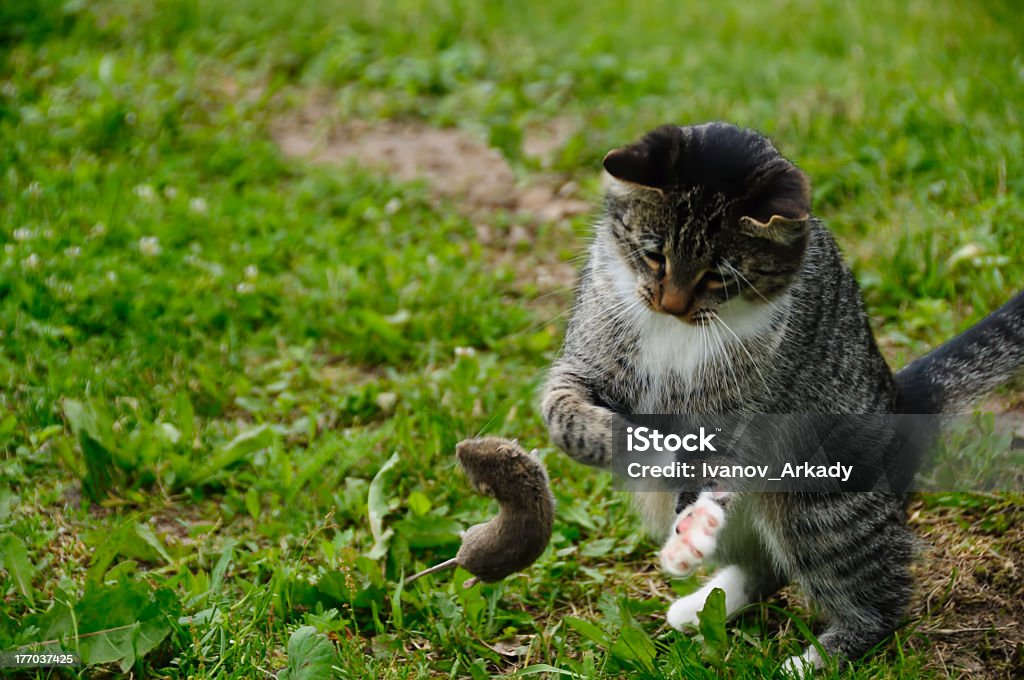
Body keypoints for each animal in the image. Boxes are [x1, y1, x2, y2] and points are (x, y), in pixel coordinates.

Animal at [540, 123, 1019, 675]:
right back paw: (700, 604)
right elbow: (565, 415)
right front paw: (635, 445)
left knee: (882, 598)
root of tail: (901, 399)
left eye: (718, 275)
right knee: (765, 567)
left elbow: (715, 467)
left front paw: (693, 521)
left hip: (822, 507)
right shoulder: (584, 363)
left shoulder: (743, 416)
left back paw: (814, 658)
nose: (672, 303)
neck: (680, 330)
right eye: (654, 254)